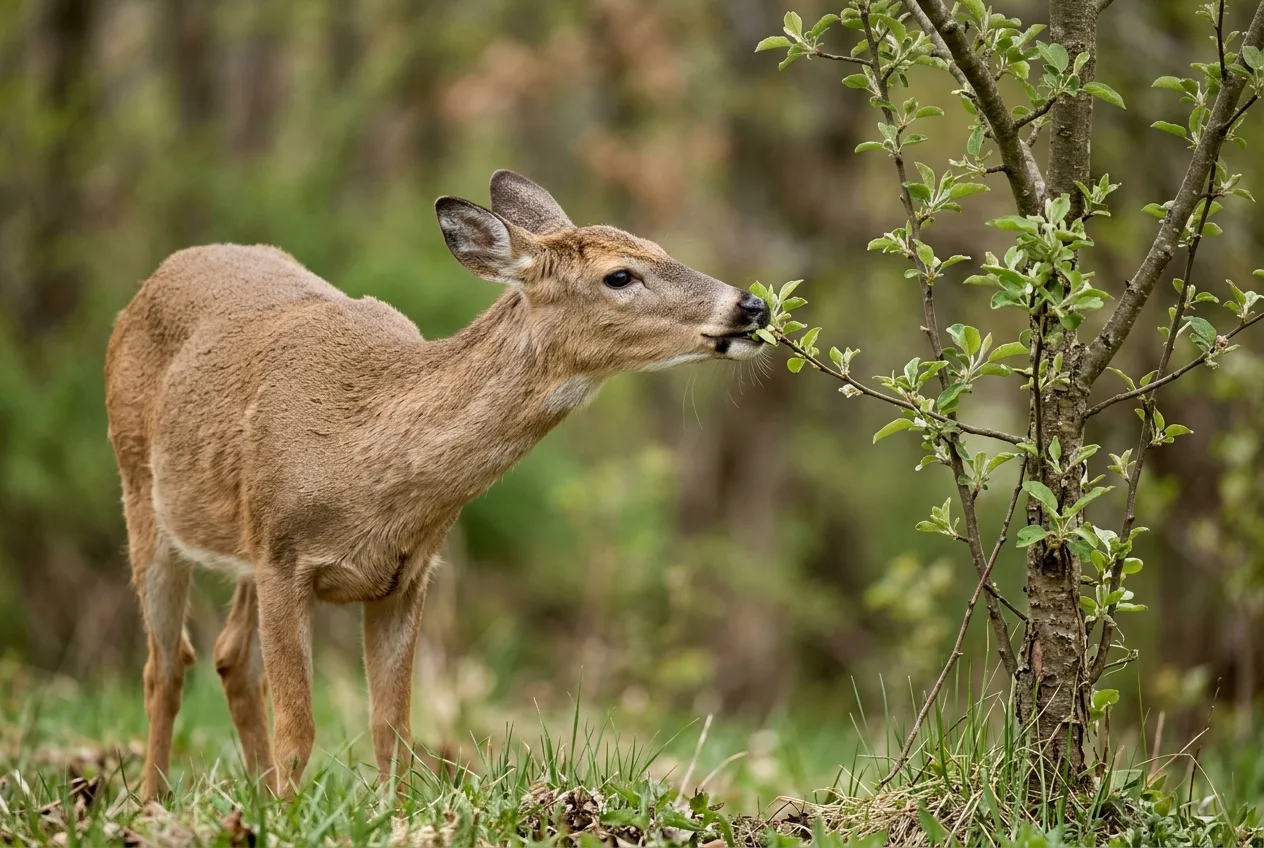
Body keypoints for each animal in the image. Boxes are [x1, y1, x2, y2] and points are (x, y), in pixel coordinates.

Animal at [104, 170, 769, 801]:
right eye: (620, 275)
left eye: (658, 247)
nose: (752, 307)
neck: (366, 462)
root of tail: (151, 280)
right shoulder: (282, 558)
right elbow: (299, 731)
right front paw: (292, 817)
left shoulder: (406, 575)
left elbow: (393, 730)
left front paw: (389, 815)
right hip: (142, 492)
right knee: (165, 666)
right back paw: (153, 801)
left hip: (241, 540)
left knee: (230, 658)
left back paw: (256, 796)